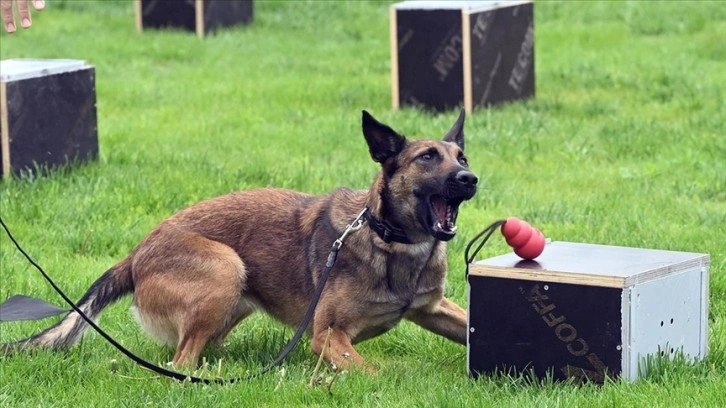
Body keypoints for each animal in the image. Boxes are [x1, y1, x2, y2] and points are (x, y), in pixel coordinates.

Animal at [7, 110, 484, 372]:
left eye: (461, 157)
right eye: (427, 158)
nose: (470, 178)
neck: (392, 241)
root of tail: (136, 253)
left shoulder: (434, 309)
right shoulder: (327, 335)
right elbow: (374, 372)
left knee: (195, 350)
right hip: (224, 268)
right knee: (180, 361)